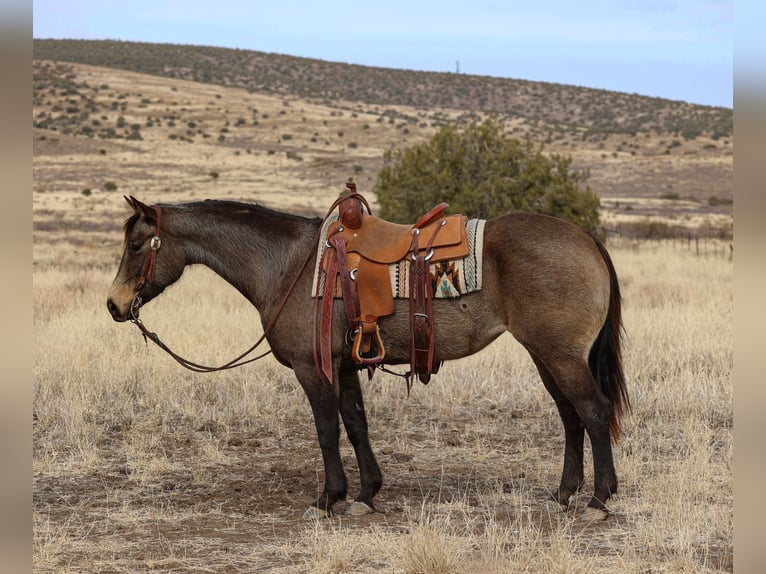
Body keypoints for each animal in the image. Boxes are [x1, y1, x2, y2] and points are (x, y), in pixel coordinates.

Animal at [105, 192, 632, 520]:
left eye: (136, 244)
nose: (113, 305)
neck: (288, 265)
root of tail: (586, 238)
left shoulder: (313, 368)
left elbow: (326, 429)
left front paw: (327, 499)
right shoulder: (345, 365)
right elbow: (356, 424)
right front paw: (366, 494)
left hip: (559, 355)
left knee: (592, 411)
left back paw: (598, 499)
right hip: (547, 357)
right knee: (570, 418)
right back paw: (564, 494)